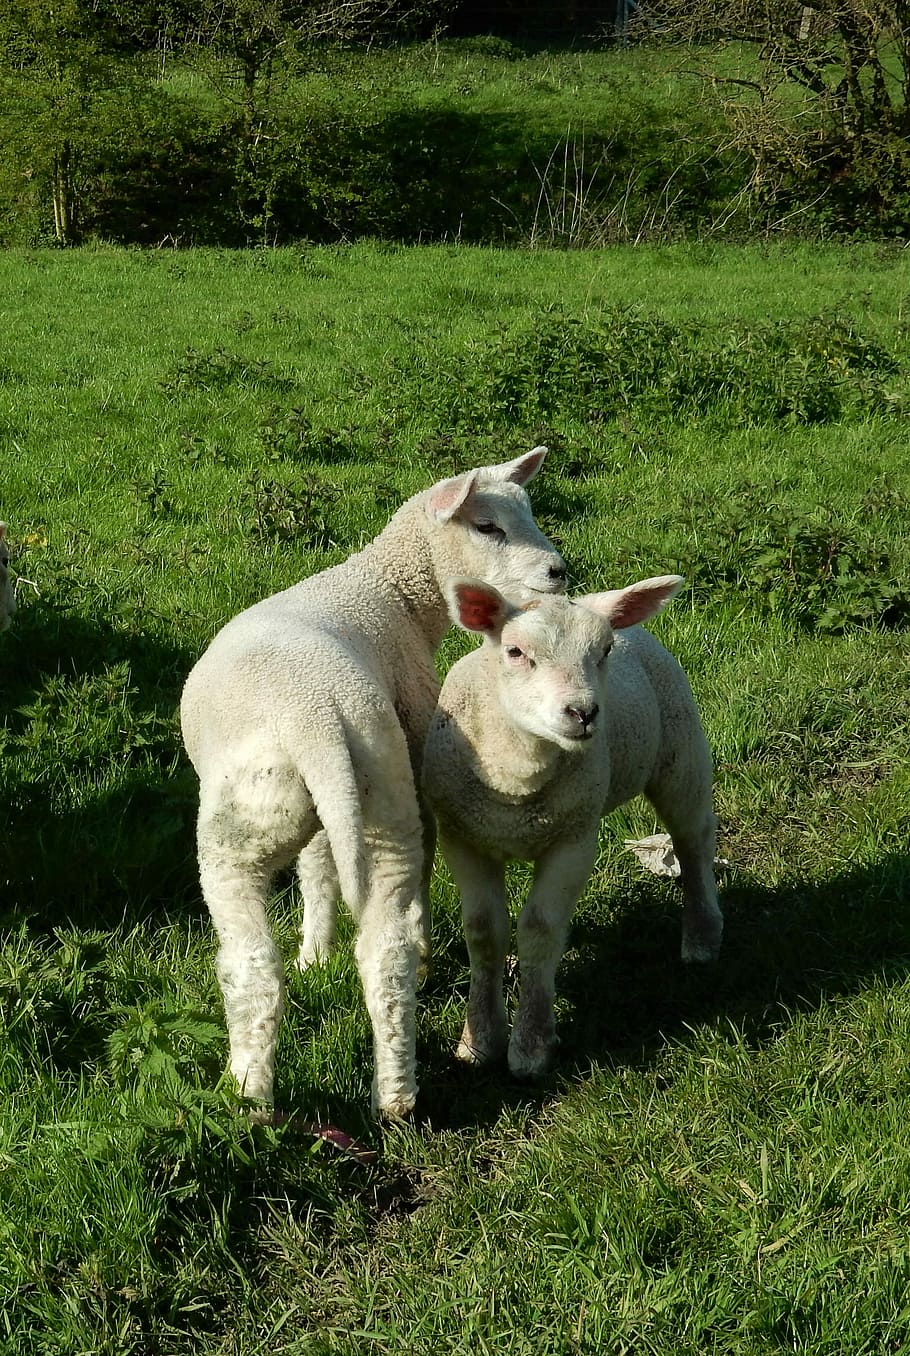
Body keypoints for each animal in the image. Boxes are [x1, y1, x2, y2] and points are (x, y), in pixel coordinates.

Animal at [180, 449, 566, 1119]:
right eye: (488, 526)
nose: (558, 572)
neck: (392, 590)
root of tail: (314, 720)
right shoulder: (345, 803)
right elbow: (318, 867)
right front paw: (316, 952)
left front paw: (315, 949)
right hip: (376, 792)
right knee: (384, 950)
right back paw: (396, 1096)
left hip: (247, 831)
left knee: (253, 967)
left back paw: (250, 1096)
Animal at [422, 574, 723, 1081]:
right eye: (515, 651)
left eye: (603, 650)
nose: (583, 713)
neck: (518, 782)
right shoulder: (464, 838)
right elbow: (483, 932)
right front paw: (478, 1040)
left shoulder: (574, 840)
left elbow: (541, 929)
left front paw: (531, 1045)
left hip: (680, 749)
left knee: (693, 841)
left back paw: (702, 938)